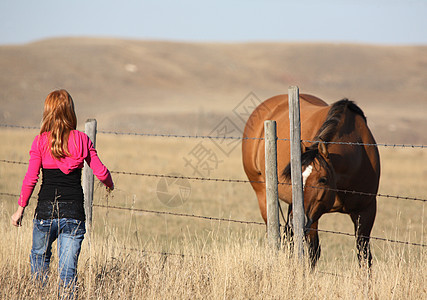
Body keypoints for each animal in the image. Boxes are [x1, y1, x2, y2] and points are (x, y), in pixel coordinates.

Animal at [244, 94, 382, 268]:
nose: (297, 220)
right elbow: (312, 253)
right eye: (295, 177)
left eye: (322, 179)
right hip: (264, 196)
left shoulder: (366, 211)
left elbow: (364, 257)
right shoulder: (313, 216)